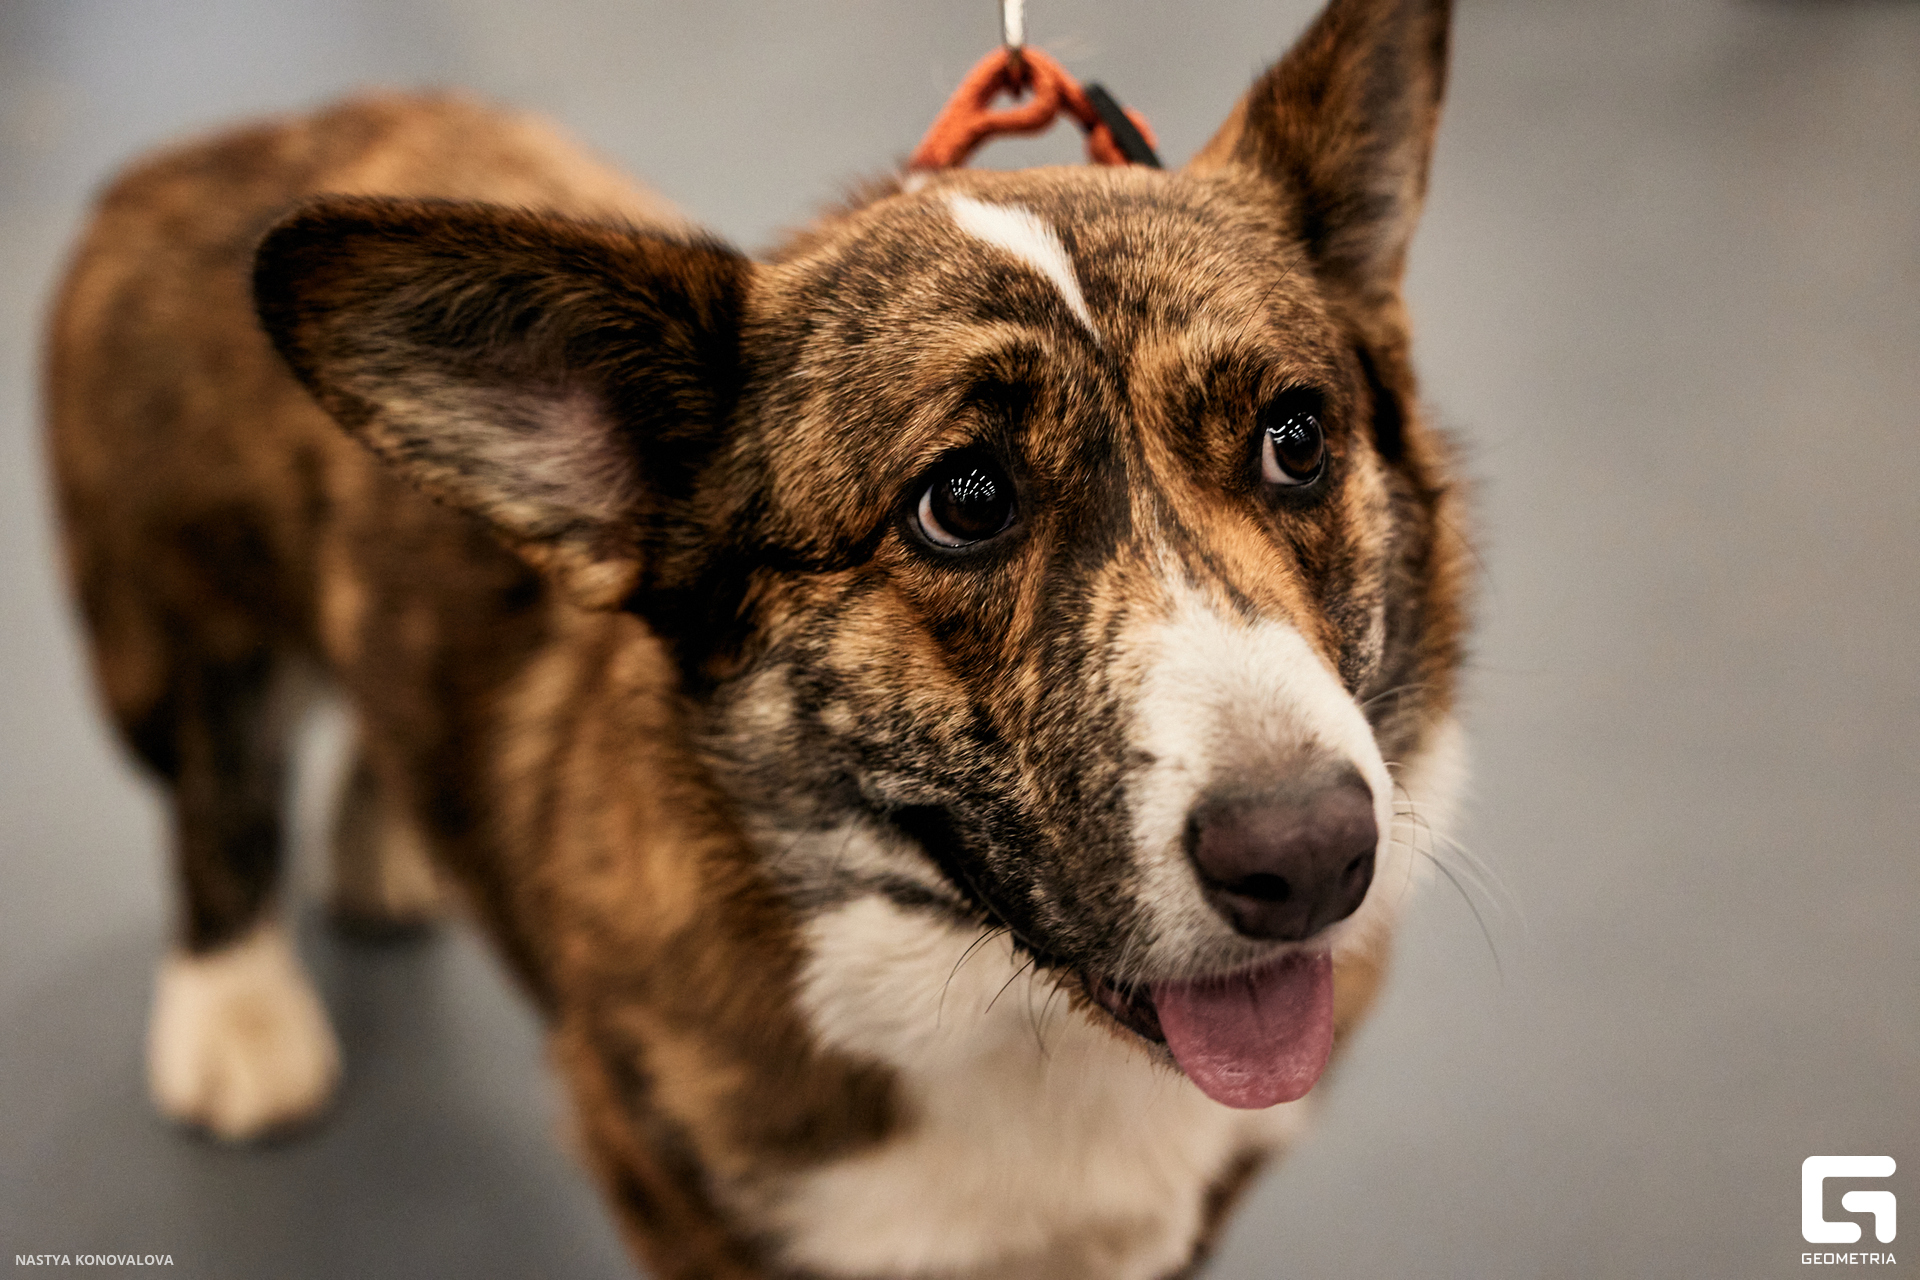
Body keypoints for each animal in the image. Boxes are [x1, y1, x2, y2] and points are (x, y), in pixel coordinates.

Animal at [44, 0, 1469, 1275]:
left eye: (1296, 437)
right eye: (964, 501)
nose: (1309, 856)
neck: (998, 1006)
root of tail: (224, 140)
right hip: (179, 635)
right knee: (217, 794)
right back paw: (237, 1015)